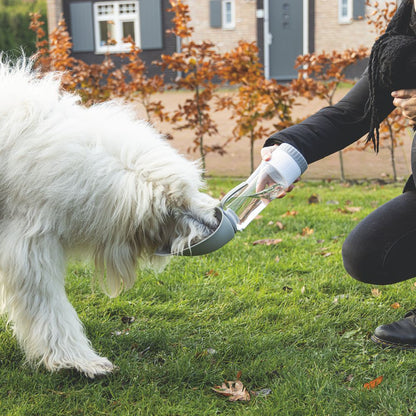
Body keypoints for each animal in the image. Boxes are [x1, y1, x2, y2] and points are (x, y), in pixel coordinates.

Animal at [0, 61, 221, 376]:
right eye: (169, 210)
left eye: (187, 191)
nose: (216, 219)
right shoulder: (29, 246)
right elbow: (49, 307)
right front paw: (78, 359)